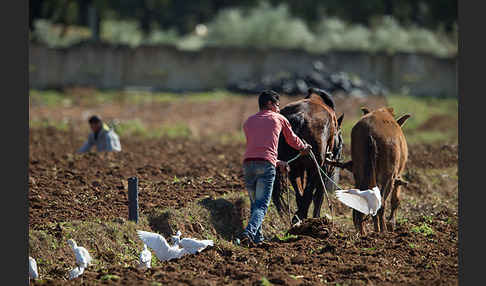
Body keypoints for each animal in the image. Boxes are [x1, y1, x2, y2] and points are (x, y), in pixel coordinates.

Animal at [272, 88, 344, 222]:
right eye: (341, 139)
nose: (338, 158)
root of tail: (300, 116)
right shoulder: (324, 169)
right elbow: (319, 196)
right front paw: (317, 216)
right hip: (315, 167)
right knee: (308, 194)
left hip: (292, 167)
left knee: (300, 194)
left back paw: (298, 217)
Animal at [330, 107, 410, 235]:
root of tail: (370, 132)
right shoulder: (395, 176)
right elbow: (395, 199)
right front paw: (390, 224)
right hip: (388, 176)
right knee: (381, 203)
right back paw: (383, 231)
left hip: (360, 173)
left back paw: (362, 232)